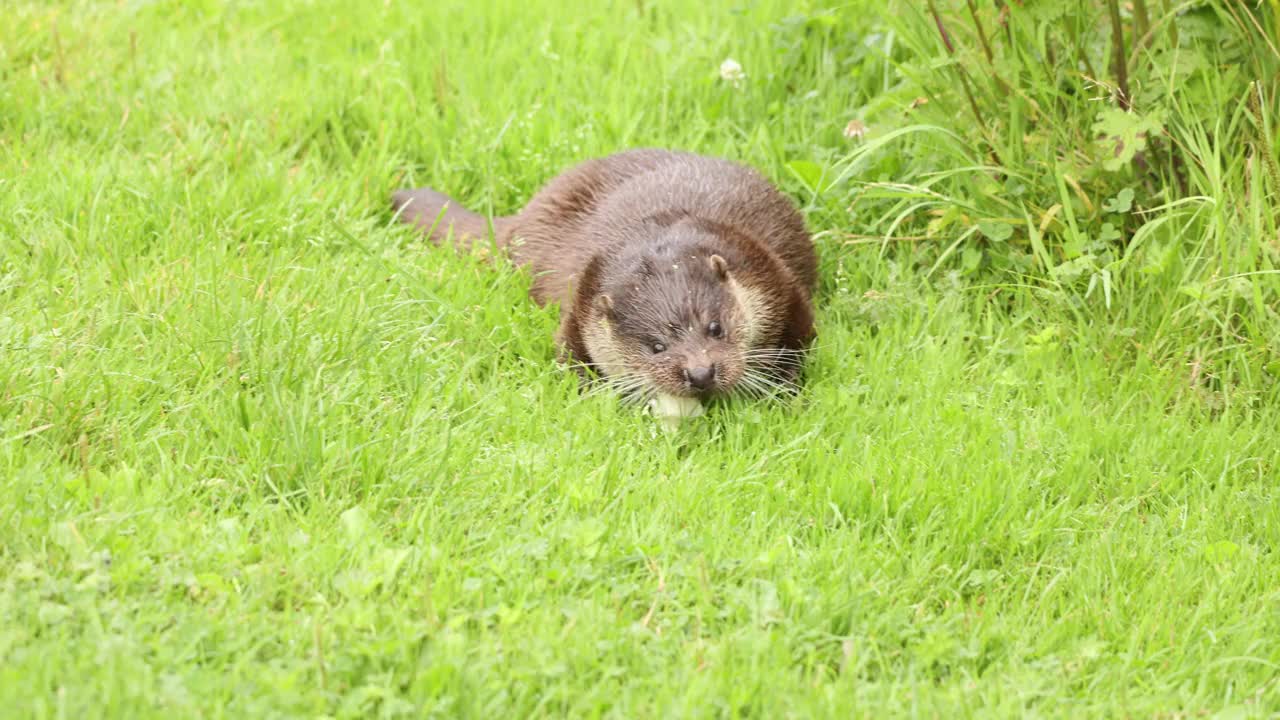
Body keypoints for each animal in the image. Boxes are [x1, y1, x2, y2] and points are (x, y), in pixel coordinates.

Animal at [386, 149, 819, 420]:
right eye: (656, 346)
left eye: (716, 328)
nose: (700, 373)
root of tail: (524, 218)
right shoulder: (581, 307)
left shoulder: (775, 281)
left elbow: (798, 343)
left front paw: (782, 392)